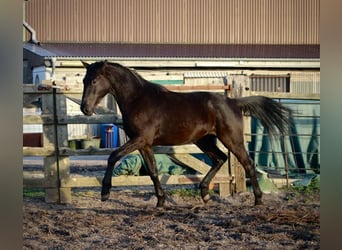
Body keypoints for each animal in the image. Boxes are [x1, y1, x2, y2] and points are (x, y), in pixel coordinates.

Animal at [81, 60, 292, 207]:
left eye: (94, 80)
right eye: (83, 80)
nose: (85, 108)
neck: (138, 100)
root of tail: (233, 102)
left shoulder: (140, 139)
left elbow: (112, 156)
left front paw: (105, 193)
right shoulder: (144, 144)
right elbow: (153, 171)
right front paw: (160, 201)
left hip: (231, 139)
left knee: (247, 163)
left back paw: (258, 200)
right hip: (204, 141)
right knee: (220, 159)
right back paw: (205, 194)